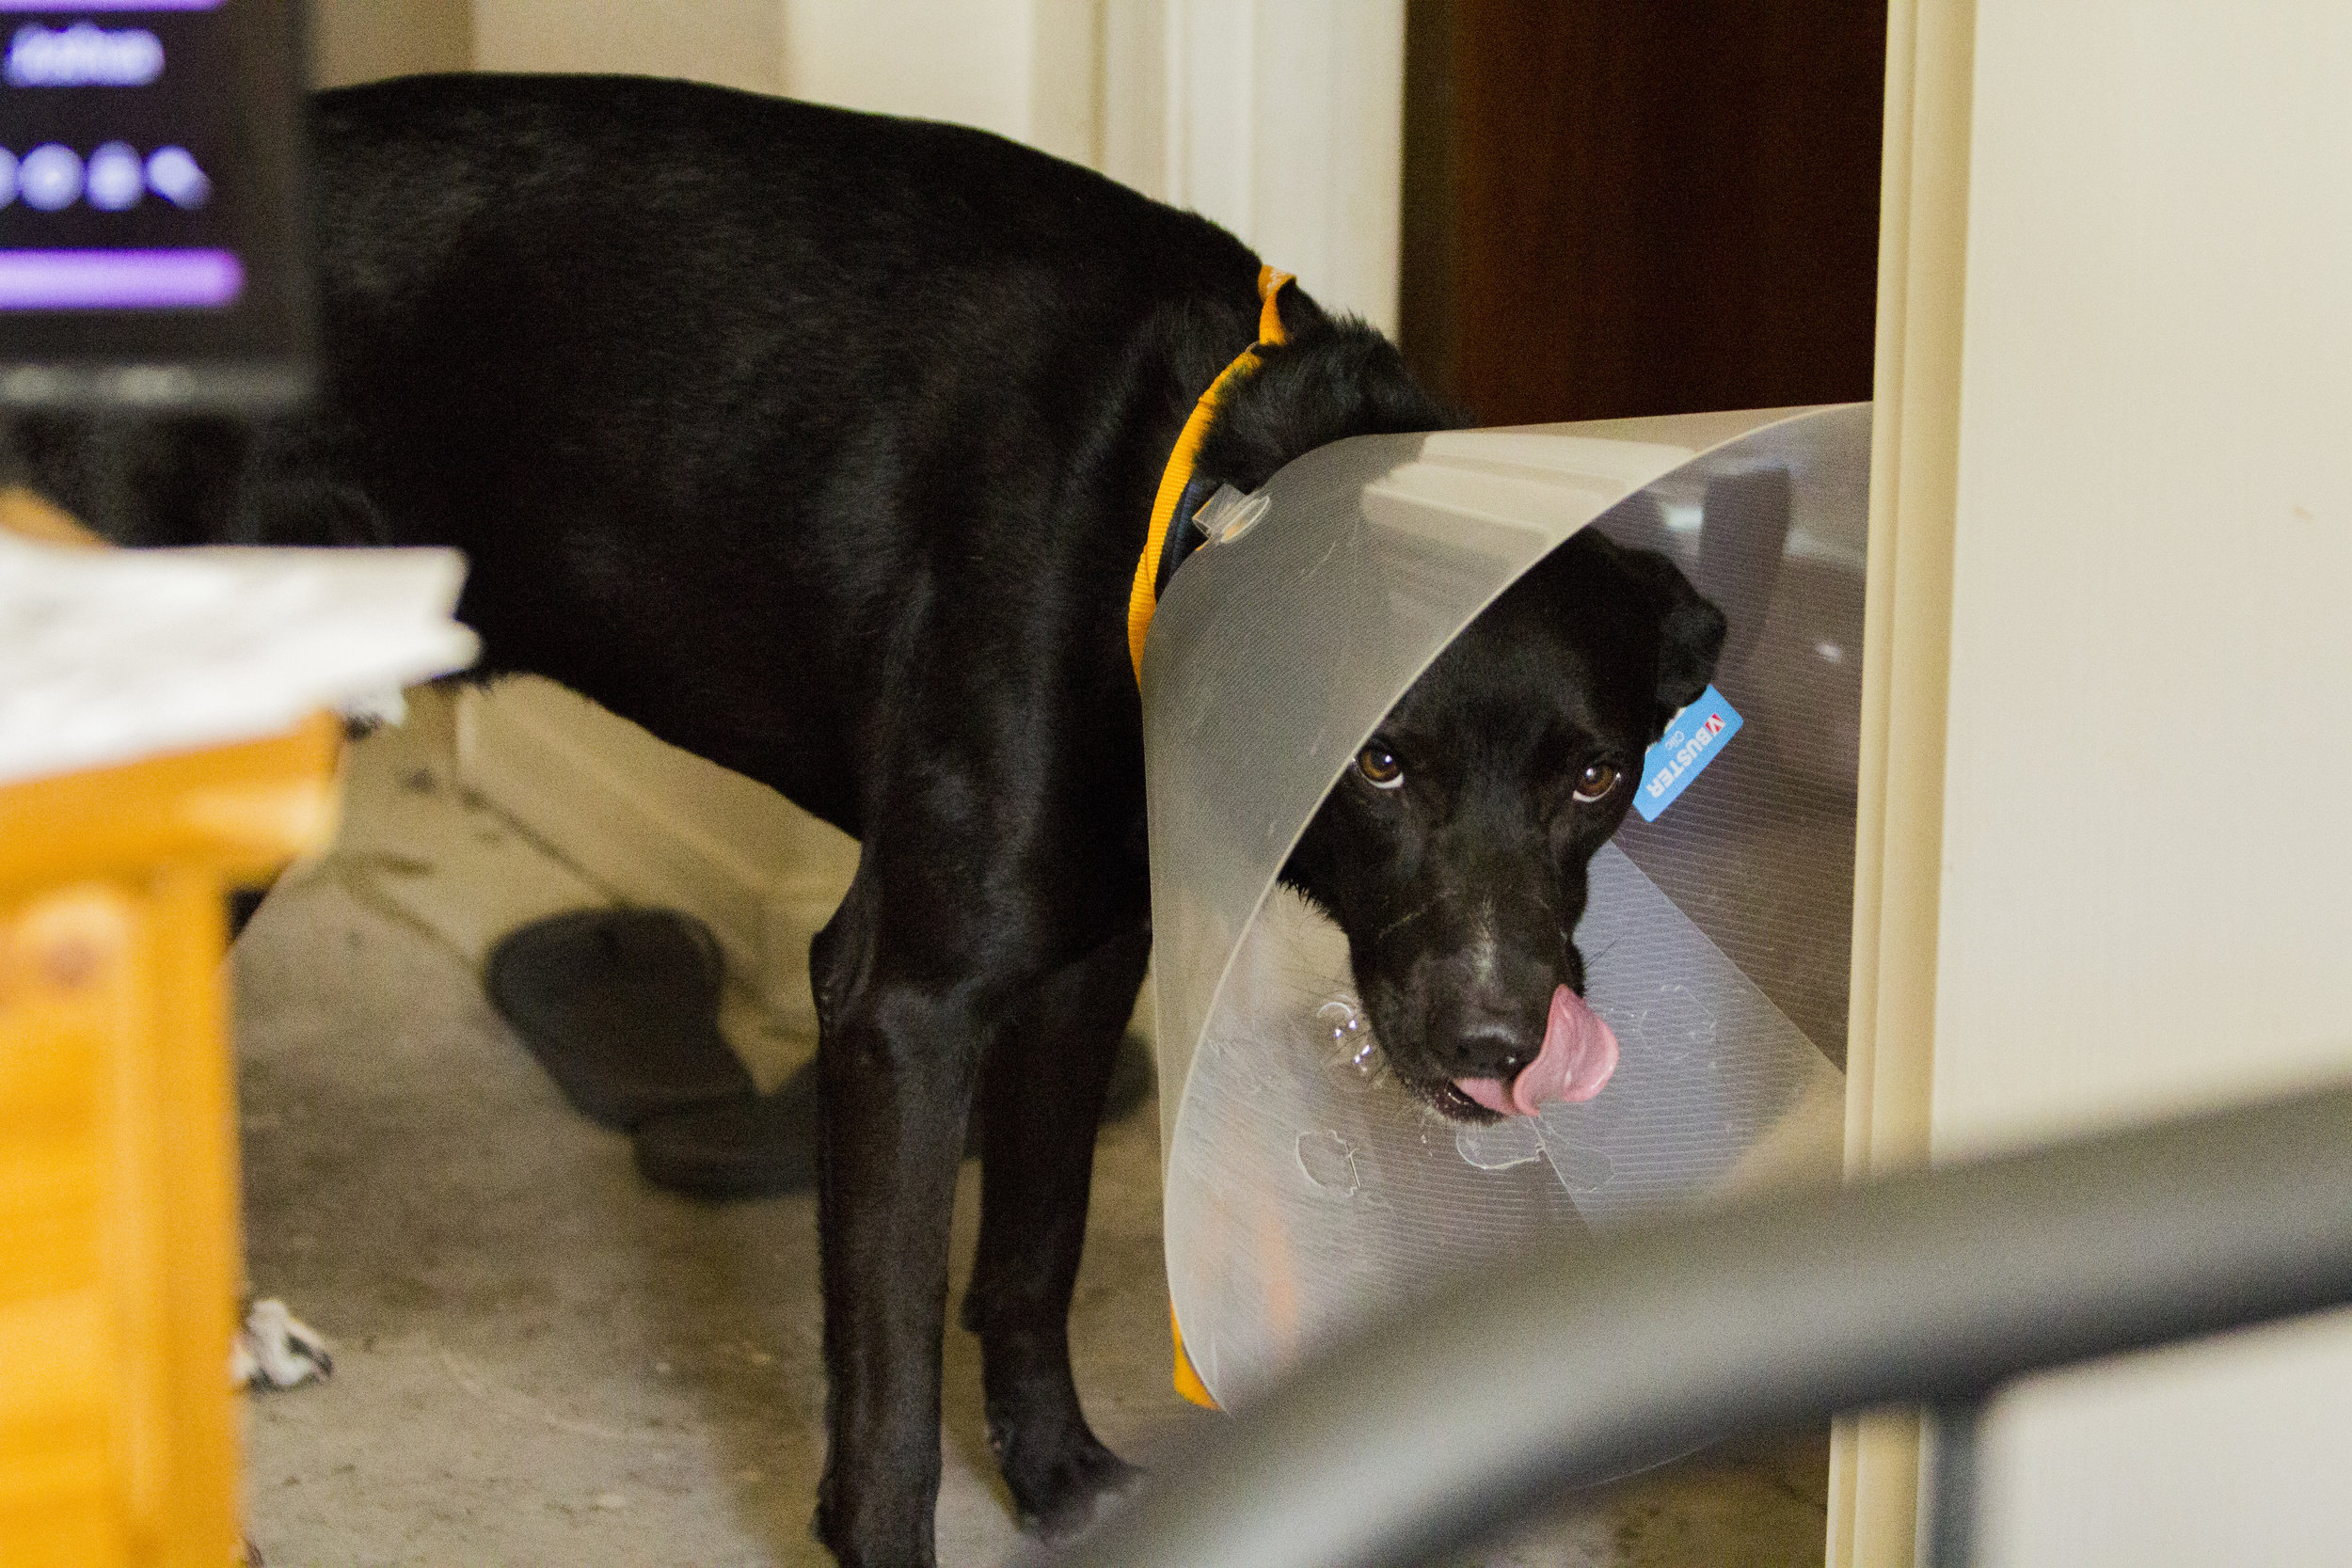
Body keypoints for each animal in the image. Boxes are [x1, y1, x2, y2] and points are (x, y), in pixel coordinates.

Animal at [4, 70, 1731, 1560]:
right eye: (1376, 762)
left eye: (1596, 774)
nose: (1503, 1044)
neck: (1173, 488)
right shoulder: (904, 1002)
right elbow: (889, 1391)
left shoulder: (1081, 969)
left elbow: (1031, 1250)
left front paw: (1063, 1480)